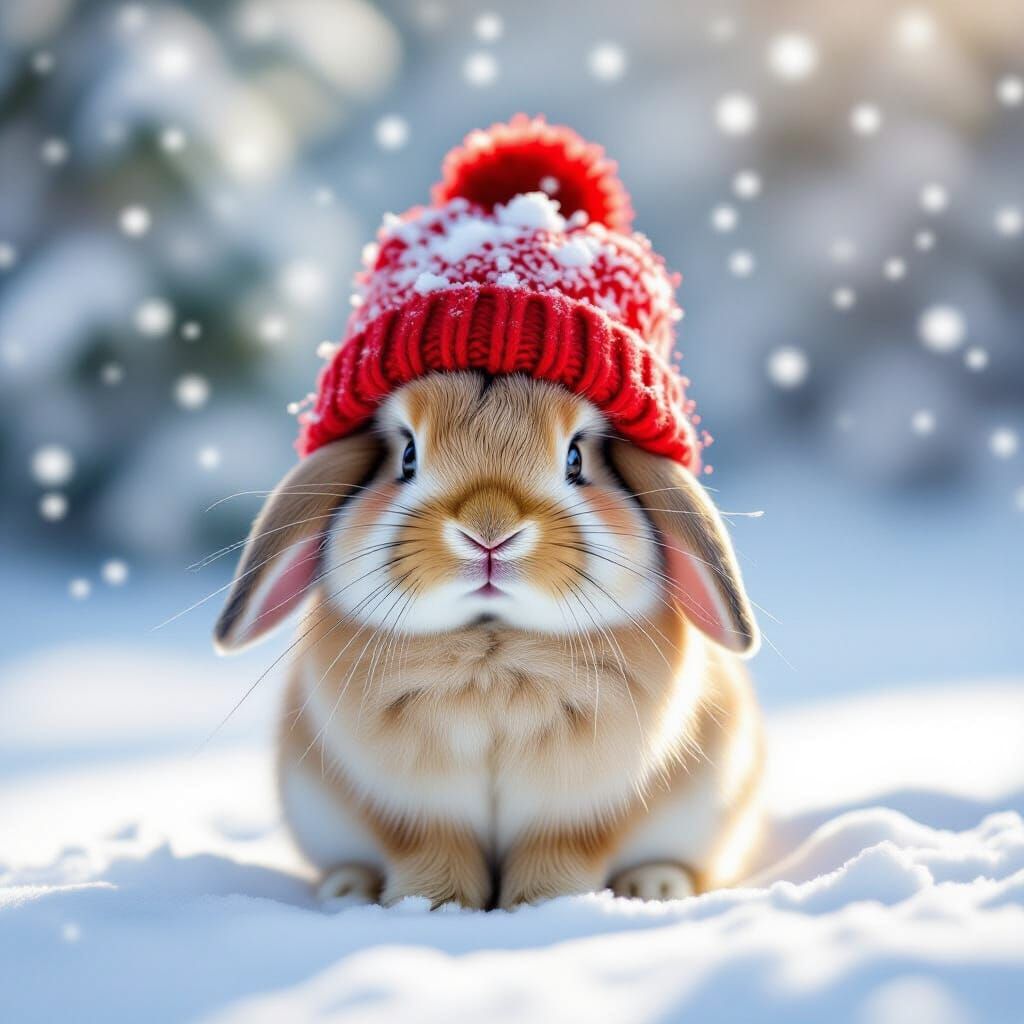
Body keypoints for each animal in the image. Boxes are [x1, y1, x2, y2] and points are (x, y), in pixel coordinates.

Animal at [214, 371, 763, 909]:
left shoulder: (570, 815)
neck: (491, 645)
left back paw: (655, 886)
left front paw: (543, 906)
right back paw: (347, 889)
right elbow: (434, 853)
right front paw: (433, 906)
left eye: (576, 458)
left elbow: (557, 855)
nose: (489, 528)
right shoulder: (421, 813)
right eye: (407, 455)